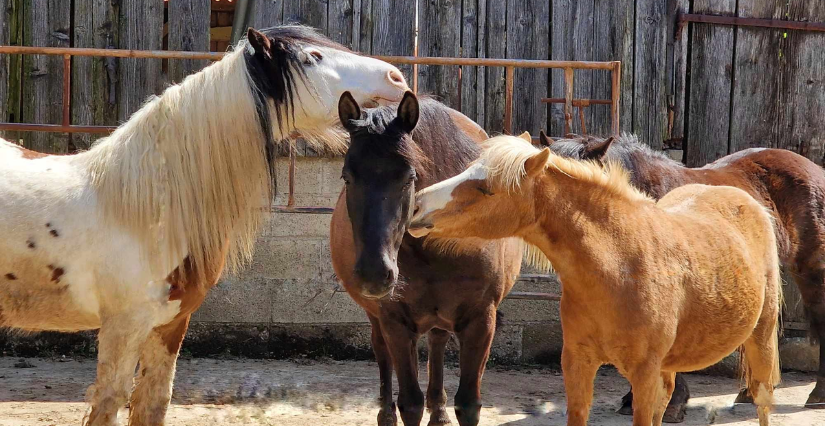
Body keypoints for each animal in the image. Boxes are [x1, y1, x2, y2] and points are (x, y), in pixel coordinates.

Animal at [0, 25, 408, 426]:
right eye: (313, 57)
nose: (396, 77)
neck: (145, 209)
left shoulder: (170, 324)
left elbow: (153, 404)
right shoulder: (123, 325)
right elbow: (109, 402)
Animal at [329, 92, 523, 426]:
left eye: (409, 177)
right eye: (347, 177)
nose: (374, 273)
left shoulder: (481, 321)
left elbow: (468, 405)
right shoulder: (395, 322)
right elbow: (410, 403)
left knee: (436, 343)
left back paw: (439, 411)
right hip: (378, 316)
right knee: (381, 351)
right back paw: (387, 414)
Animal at [409, 134, 782, 426]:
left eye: (486, 188)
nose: (415, 206)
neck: (621, 266)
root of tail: (744, 199)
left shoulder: (643, 374)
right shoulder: (577, 363)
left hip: (760, 339)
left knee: (763, 400)